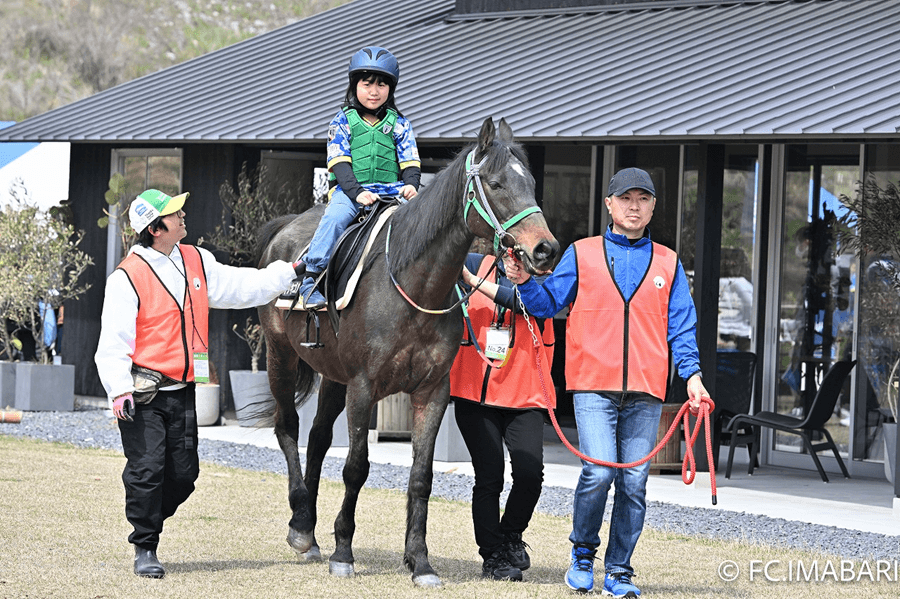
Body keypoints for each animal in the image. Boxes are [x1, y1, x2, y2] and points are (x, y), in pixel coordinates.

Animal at [256, 117, 559, 587]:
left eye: (530, 184)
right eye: (495, 184)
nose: (545, 249)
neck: (411, 283)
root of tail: (286, 229)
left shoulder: (431, 393)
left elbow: (421, 477)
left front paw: (420, 561)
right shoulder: (364, 387)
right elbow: (356, 467)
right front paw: (344, 552)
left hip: (334, 375)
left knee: (319, 438)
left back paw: (308, 525)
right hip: (280, 356)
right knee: (288, 427)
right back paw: (302, 528)